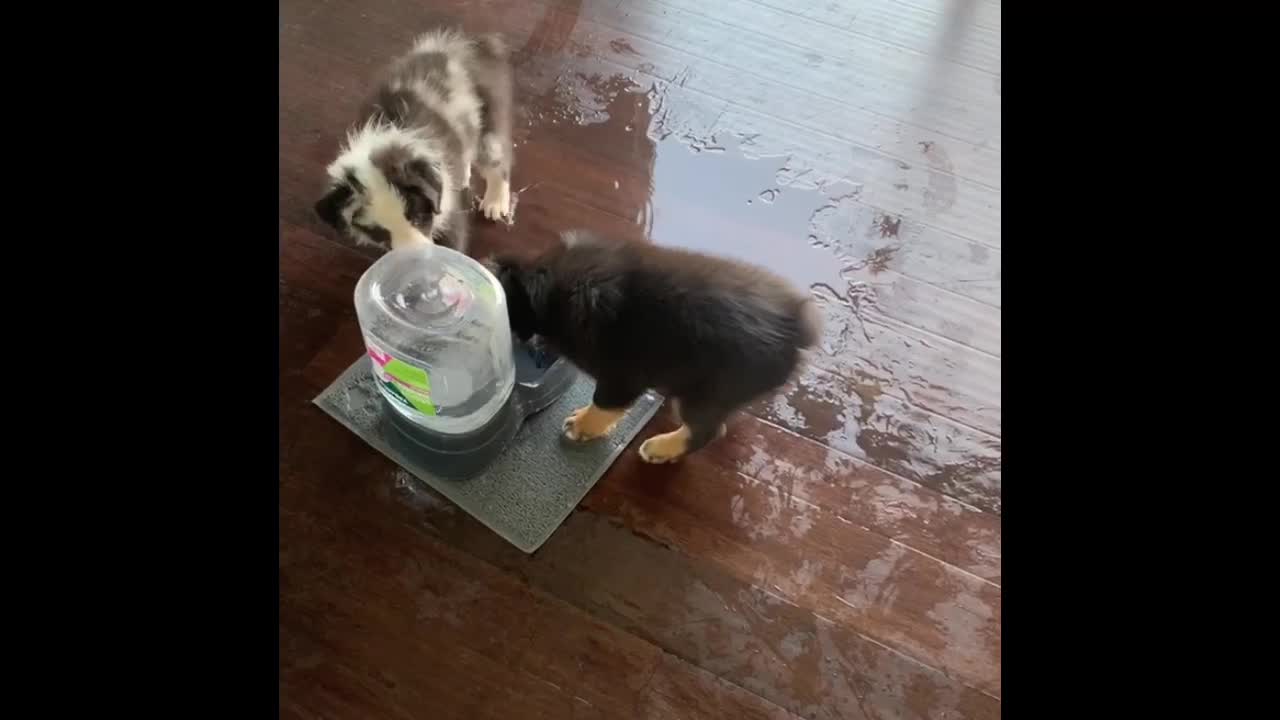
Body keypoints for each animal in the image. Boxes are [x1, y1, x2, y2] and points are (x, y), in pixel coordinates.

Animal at [483, 233, 824, 461]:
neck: (550, 289)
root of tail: (796, 330)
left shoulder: (622, 374)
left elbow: (603, 404)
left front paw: (581, 426)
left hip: (703, 392)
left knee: (707, 431)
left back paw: (661, 448)